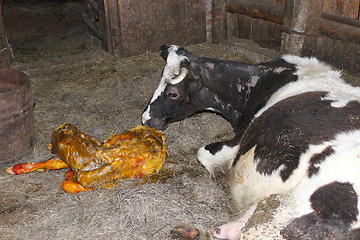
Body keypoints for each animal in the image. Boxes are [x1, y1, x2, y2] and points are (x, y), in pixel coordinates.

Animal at [141, 45, 360, 240]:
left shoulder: (237, 143)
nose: (145, 119)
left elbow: (202, 152)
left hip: (281, 214)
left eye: (172, 93)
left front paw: (219, 173)